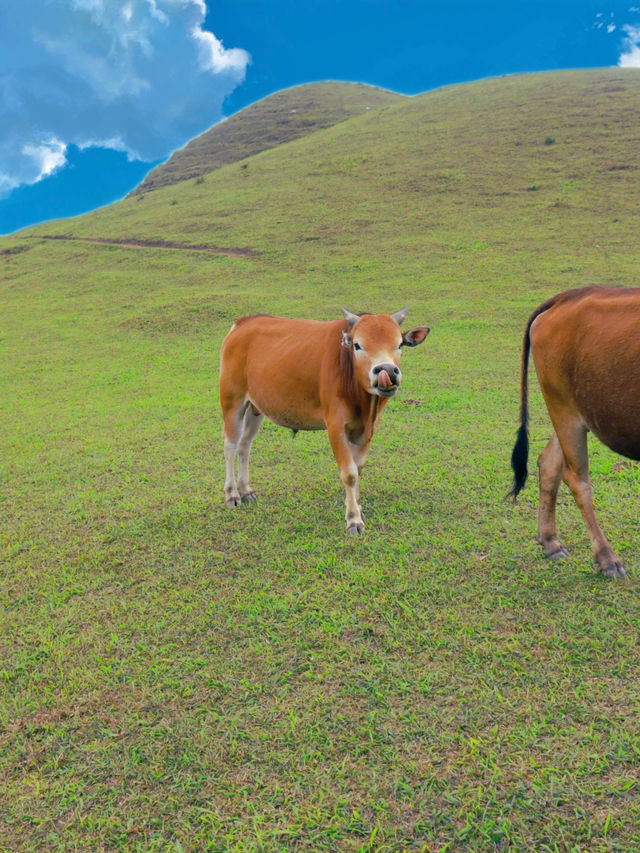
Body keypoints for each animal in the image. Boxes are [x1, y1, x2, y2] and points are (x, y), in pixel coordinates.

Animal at [220, 306, 430, 532]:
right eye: (357, 345)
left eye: (399, 344)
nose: (387, 371)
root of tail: (242, 323)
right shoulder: (336, 427)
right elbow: (349, 473)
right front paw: (353, 519)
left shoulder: (368, 430)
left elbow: (358, 469)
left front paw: (357, 506)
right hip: (232, 401)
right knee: (230, 446)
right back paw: (232, 494)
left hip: (255, 408)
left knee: (244, 446)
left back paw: (246, 490)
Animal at [512, 286, 640, 580]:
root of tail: (566, 297)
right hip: (564, 410)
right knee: (577, 479)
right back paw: (607, 558)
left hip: (570, 413)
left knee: (549, 463)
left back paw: (550, 543)